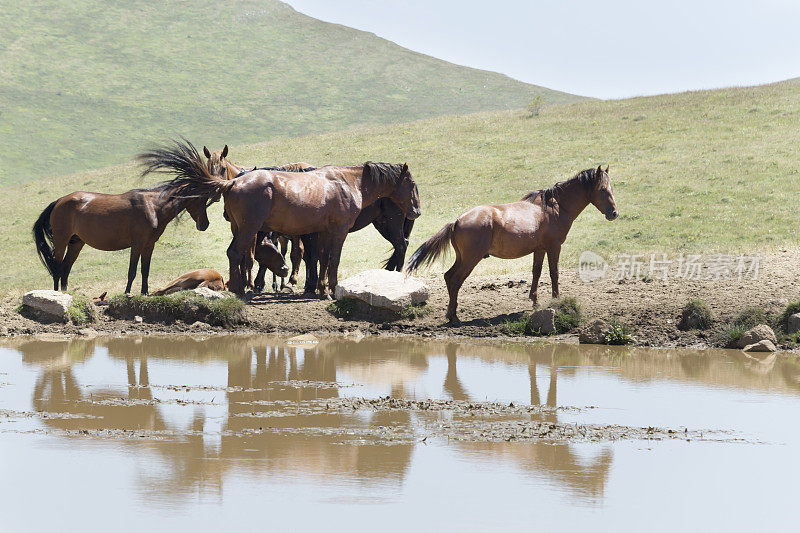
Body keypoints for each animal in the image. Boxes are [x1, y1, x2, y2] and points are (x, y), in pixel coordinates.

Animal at [138, 139, 422, 298]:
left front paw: (319, 288)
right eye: (411, 183)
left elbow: (321, 259)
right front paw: (330, 290)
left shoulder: (323, 232)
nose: (417, 210)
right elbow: (331, 260)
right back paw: (240, 289)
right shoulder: (337, 231)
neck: (345, 182)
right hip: (248, 229)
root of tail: (232, 183)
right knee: (236, 253)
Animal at [406, 166, 620, 324]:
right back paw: (454, 317)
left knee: (448, 277)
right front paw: (556, 300)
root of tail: (457, 220)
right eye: (603, 189)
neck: (555, 207)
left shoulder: (540, 249)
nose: (614, 213)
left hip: (463, 258)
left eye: (611, 188)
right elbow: (554, 273)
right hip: (470, 259)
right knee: (455, 280)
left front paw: (535, 301)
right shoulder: (554, 247)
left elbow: (536, 273)